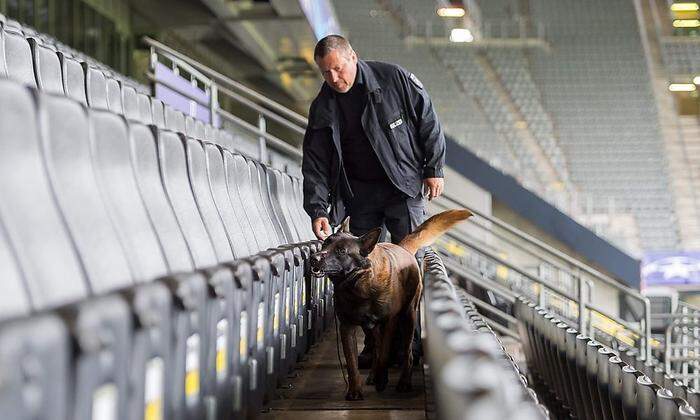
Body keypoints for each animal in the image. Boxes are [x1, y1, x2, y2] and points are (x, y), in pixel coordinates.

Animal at [310, 210, 470, 400]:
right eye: (325, 243)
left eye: (341, 251)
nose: (313, 258)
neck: (358, 282)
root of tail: (403, 248)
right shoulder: (347, 327)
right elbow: (351, 362)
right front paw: (355, 390)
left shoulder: (389, 322)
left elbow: (385, 356)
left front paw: (382, 380)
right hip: (371, 328)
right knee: (375, 349)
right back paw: (373, 375)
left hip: (408, 318)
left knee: (406, 353)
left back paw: (403, 382)